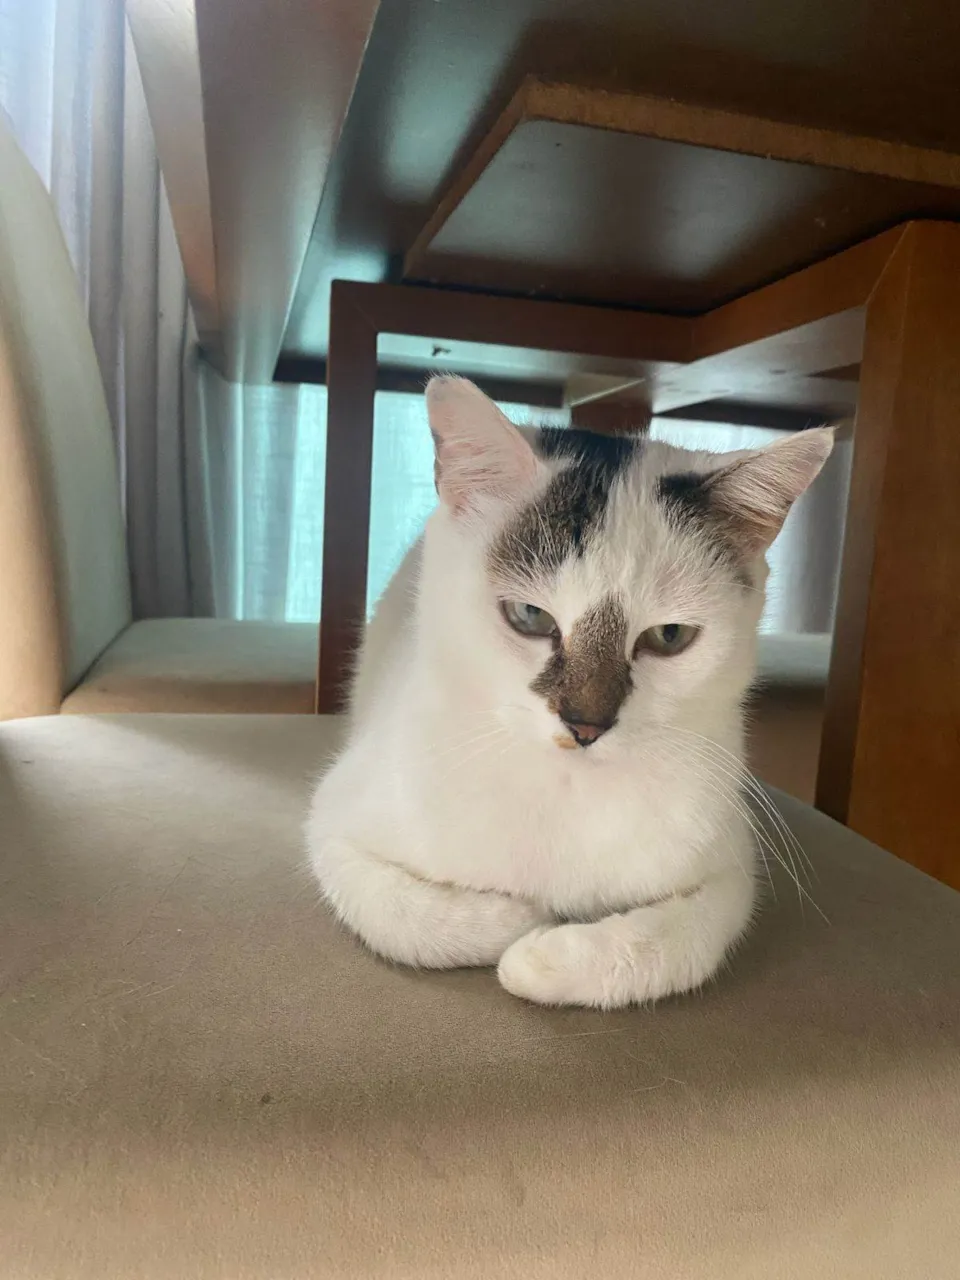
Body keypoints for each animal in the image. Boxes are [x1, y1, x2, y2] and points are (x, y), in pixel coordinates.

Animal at [306, 376, 833, 1009]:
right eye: (530, 616)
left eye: (669, 636)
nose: (586, 725)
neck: (566, 788)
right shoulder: (334, 824)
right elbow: (402, 917)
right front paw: (520, 920)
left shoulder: (731, 869)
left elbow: (688, 942)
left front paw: (545, 957)